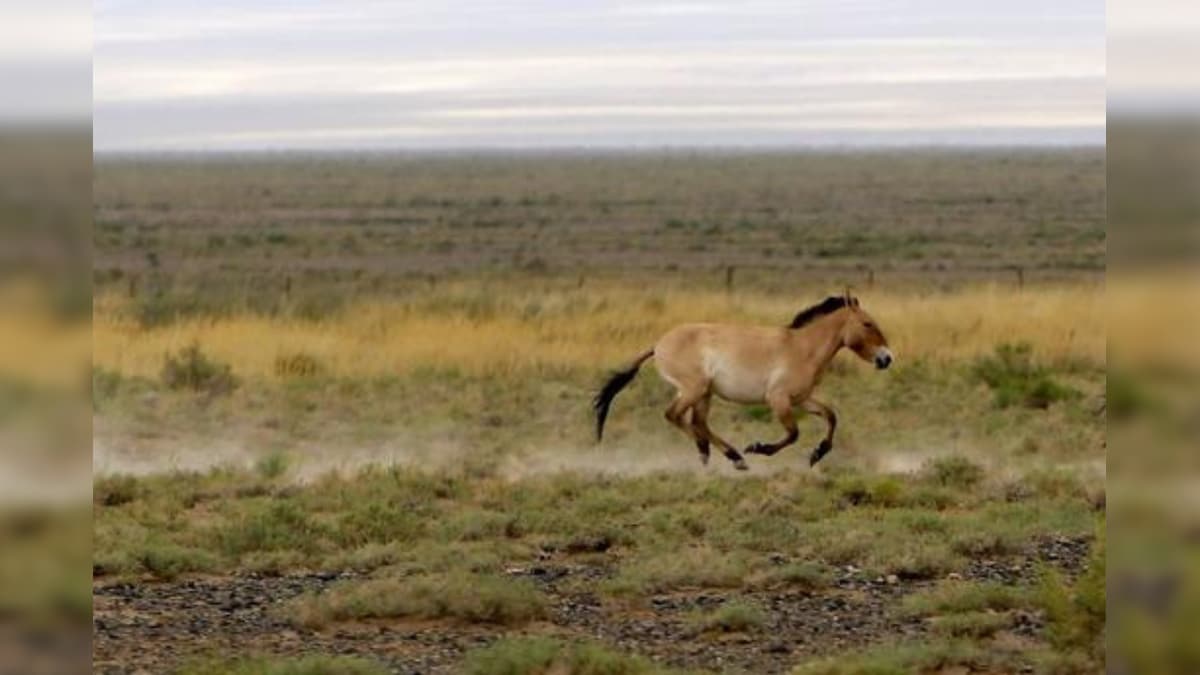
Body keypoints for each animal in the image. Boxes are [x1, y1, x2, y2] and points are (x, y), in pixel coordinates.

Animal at [595, 291, 897, 470]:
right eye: (867, 324)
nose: (886, 358)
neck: (802, 348)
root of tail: (658, 345)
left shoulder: (801, 399)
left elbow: (831, 416)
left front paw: (817, 453)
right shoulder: (779, 399)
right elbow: (793, 434)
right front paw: (758, 448)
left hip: (704, 393)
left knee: (697, 422)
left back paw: (715, 454)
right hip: (694, 389)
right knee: (675, 416)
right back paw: (729, 455)